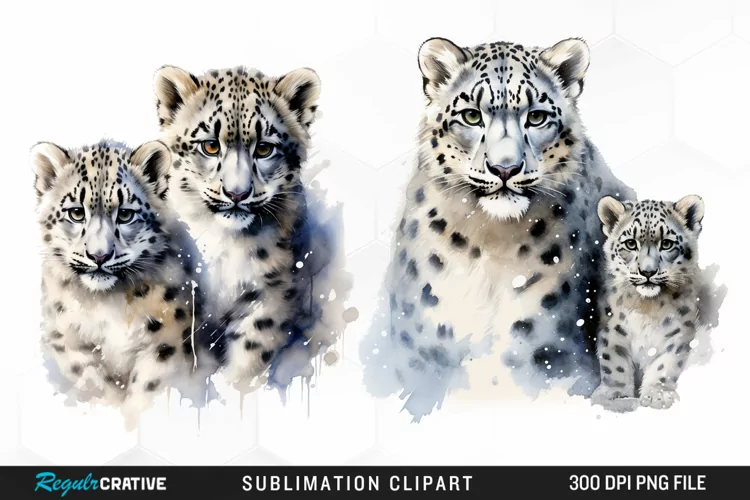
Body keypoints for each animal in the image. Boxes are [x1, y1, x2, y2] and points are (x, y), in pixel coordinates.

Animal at [32, 139, 216, 428]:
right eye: (76, 213)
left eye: (126, 214)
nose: (99, 255)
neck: (108, 303)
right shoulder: (66, 338)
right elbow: (93, 382)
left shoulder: (167, 340)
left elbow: (149, 387)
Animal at [153, 64, 348, 391]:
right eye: (210, 145)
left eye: (265, 148)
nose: (237, 193)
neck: (223, 245)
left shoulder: (271, 290)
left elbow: (252, 349)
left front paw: (236, 388)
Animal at [361, 36, 639, 420]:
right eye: (471, 115)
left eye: (536, 116)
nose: (504, 168)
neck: (488, 243)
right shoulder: (423, 351)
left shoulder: (548, 355)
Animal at [591, 195, 722, 411]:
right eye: (630, 244)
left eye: (667, 244)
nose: (648, 272)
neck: (647, 307)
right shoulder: (612, 330)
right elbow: (615, 364)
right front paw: (616, 396)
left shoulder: (678, 332)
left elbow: (665, 363)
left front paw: (656, 395)